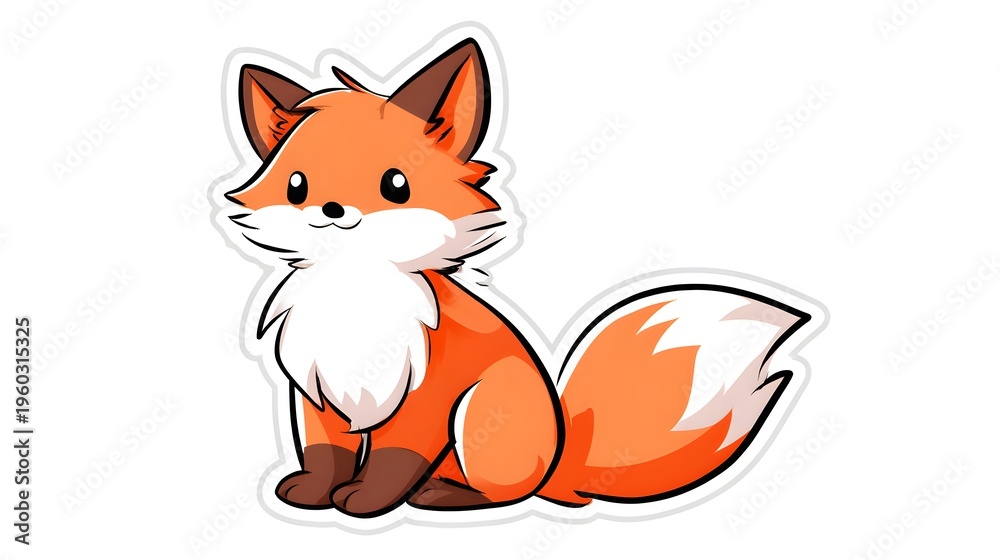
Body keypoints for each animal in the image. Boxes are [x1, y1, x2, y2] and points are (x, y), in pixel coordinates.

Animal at [213, 34, 822, 521]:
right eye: (296, 185)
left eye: (395, 184)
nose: (334, 210)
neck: (355, 297)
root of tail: (559, 461)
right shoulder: (316, 393)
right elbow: (325, 454)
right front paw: (316, 493)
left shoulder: (426, 398)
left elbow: (392, 459)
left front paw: (367, 501)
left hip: (480, 411)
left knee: (506, 492)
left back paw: (444, 496)